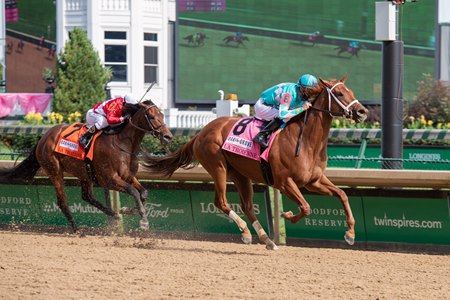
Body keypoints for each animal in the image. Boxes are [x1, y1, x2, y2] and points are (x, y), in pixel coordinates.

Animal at [0, 100, 172, 232]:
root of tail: (43, 138)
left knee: (87, 196)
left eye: (162, 115)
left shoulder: (128, 176)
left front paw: (126, 210)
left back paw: (114, 215)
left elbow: (143, 193)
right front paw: (143, 222)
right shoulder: (109, 179)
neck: (123, 143)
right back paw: (77, 228)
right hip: (55, 171)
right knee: (63, 201)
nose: (168, 136)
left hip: (84, 173)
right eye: (152, 116)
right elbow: (134, 192)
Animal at [142, 75, 368, 251]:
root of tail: (200, 133)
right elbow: (305, 207)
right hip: (218, 167)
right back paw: (245, 232)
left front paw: (350, 234)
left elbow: (342, 194)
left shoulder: (313, 181)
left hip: (240, 174)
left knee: (248, 206)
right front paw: (287, 215)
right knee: (221, 202)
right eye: (339, 94)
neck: (306, 141)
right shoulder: (284, 182)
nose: (362, 112)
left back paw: (267, 240)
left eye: (351, 91)